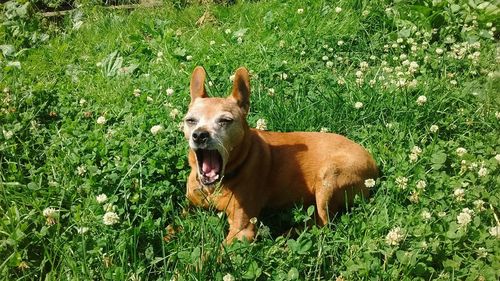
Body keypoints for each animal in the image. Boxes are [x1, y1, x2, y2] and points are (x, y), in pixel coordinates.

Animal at [184, 65, 378, 241]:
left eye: (225, 120)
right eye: (190, 120)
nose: (199, 135)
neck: (215, 187)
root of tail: (373, 164)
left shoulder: (242, 230)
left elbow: (219, 254)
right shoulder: (188, 207)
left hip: (328, 176)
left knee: (324, 223)